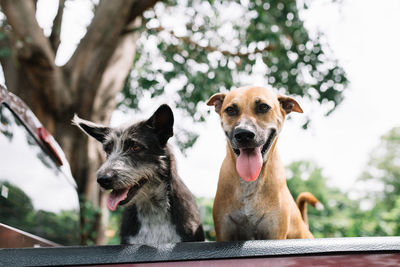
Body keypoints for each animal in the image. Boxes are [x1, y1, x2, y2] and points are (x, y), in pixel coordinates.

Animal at [206, 87, 322, 242]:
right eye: (230, 109)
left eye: (263, 107)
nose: (244, 134)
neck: (249, 183)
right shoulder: (224, 233)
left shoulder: (274, 233)